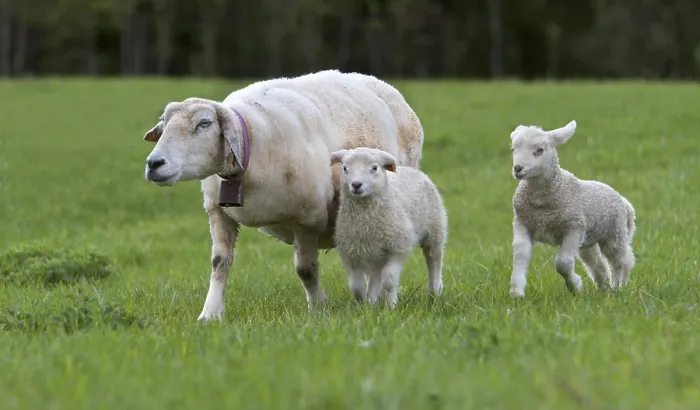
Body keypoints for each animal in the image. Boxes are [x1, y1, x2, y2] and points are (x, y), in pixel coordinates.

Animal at [141, 69, 425, 321]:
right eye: (164, 124)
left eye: (204, 123)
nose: (154, 164)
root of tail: (380, 83)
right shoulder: (218, 212)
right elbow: (219, 262)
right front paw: (210, 314)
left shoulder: (309, 217)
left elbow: (305, 270)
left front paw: (318, 308)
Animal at [329, 147, 448, 308]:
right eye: (345, 168)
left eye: (374, 168)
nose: (356, 185)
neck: (365, 220)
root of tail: (411, 169)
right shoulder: (351, 253)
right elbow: (356, 286)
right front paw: (364, 306)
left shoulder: (398, 246)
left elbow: (389, 280)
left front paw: (391, 306)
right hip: (376, 251)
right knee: (375, 274)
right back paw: (372, 301)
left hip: (435, 231)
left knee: (434, 260)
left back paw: (434, 292)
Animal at [508, 119, 636, 298]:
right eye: (514, 149)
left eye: (540, 150)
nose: (518, 168)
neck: (541, 205)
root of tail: (624, 202)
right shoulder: (523, 223)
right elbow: (521, 254)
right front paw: (516, 293)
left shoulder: (574, 226)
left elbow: (563, 263)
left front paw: (575, 286)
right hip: (589, 240)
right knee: (598, 263)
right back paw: (604, 288)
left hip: (614, 233)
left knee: (622, 261)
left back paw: (617, 287)